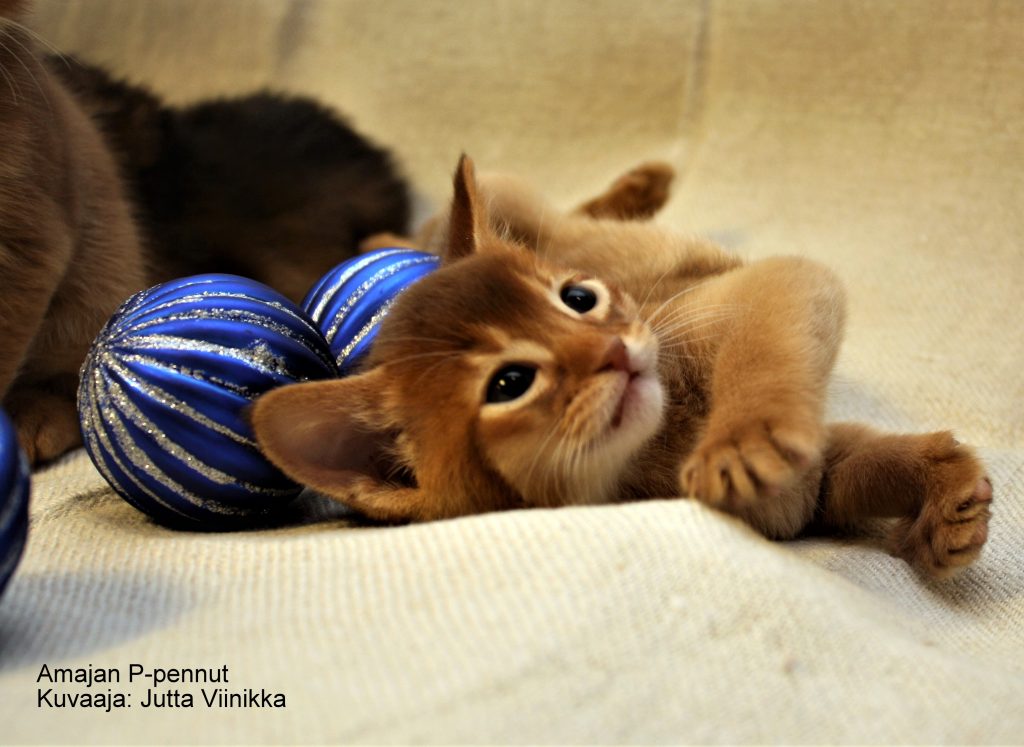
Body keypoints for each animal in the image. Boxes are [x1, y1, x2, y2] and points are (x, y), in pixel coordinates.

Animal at [251, 156, 993, 579]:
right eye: (509, 383)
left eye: (579, 298)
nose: (611, 350)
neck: (663, 442)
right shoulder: (798, 496)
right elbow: (845, 471)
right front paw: (940, 492)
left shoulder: (756, 290)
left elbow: (777, 363)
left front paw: (744, 439)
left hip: (504, 193)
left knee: (529, 214)